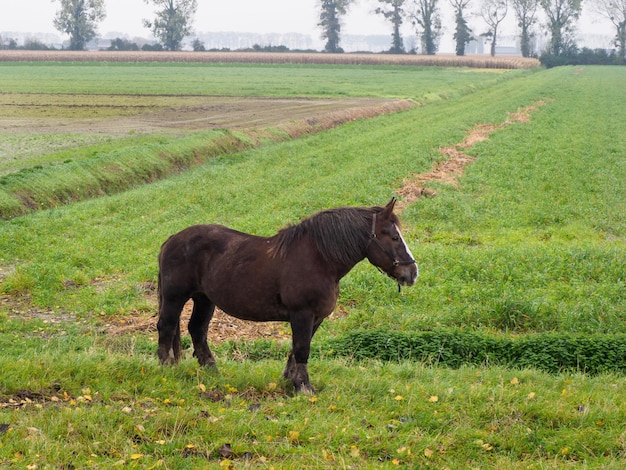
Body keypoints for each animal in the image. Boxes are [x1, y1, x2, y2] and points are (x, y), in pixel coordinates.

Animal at [155, 198, 414, 392]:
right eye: (394, 237)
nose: (412, 272)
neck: (319, 259)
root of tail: (171, 240)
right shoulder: (302, 314)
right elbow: (302, 349)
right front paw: (303, 387)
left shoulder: (315, 318)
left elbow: (298, 348)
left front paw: (290, 379)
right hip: (175, 297)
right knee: (166, 326)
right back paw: (166, 369)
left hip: (204, 298)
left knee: (197, 329)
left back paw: (212, 370)